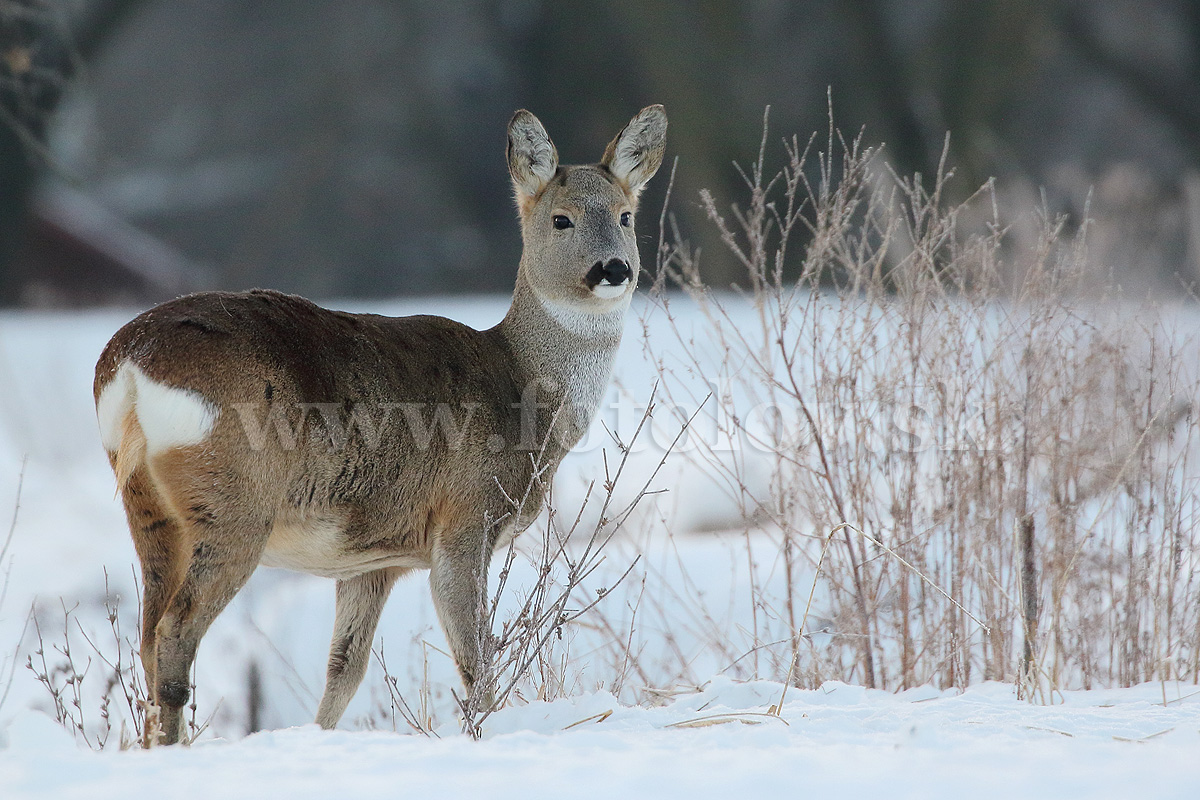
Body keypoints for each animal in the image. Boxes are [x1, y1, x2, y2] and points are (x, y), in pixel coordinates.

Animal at [96, 106, 667, 743]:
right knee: (174, 632)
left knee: (147, 638)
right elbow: (476, 660)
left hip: (148, 507)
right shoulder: (465, 518)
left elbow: (345, 668)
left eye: (625, 215)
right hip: (234, 501)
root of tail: (130, 363)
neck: (527, 390)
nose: (613, 269)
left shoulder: (374, 559)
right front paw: (484, 732)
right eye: (561, 218)